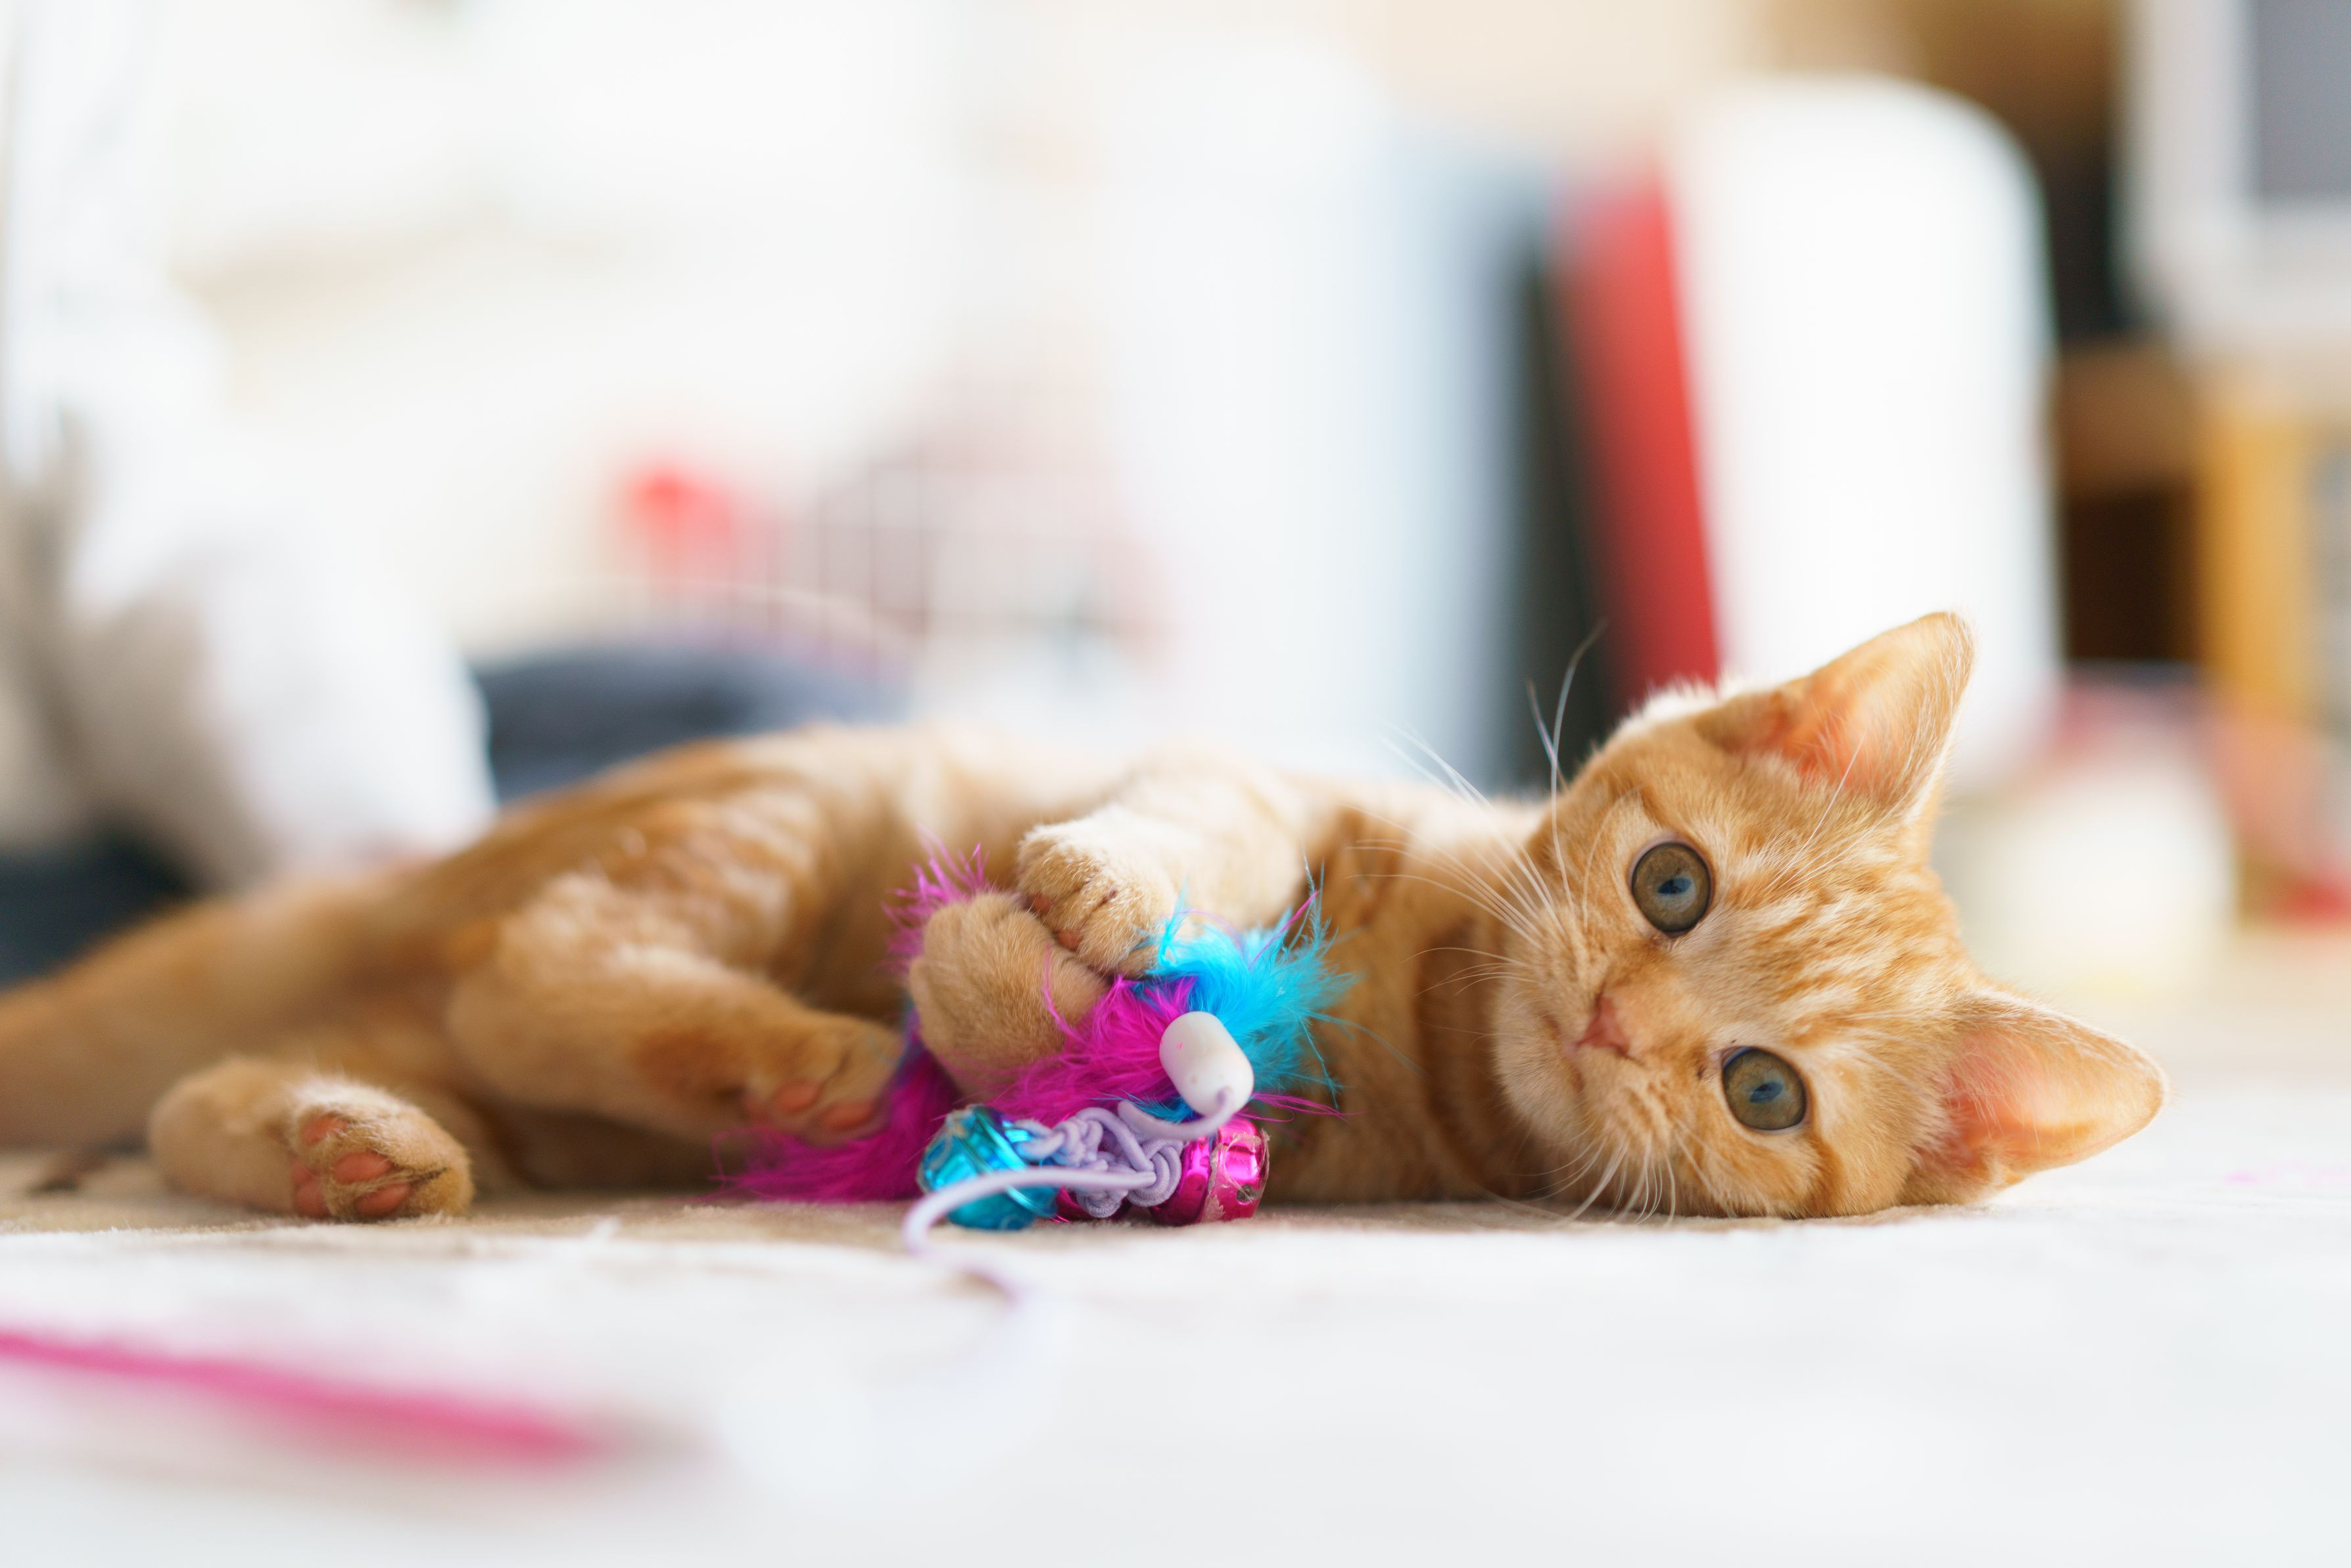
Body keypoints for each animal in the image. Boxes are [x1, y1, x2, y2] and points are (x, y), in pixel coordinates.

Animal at [0, 612, 2164, 1220]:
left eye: (1762, 1092)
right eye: (1668, 882)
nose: (1619, 1027)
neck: (1432, 1008)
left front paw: (1004, 996)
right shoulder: (1256, 781)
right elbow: (1194, 830)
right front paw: (1088, 899)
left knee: (300, 1067)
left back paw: (349, 1146)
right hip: (767, 814)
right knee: (530, 973)